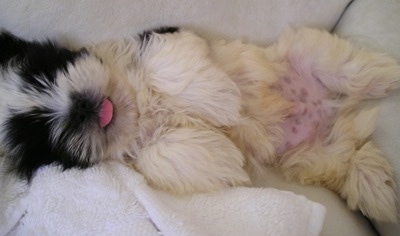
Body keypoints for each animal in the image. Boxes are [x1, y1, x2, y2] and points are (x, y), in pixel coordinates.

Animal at [0, 26, 400, 222]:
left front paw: (221, 101)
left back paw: (389, 75)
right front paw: (224, 156)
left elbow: (165, 64)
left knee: (352, 70)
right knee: (351, 157)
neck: (129, 107)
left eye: (46, 73)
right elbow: (158, 155)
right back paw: (377, 188)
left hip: (313, 55)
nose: (80, 108)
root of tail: (332, 109)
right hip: (312, 157)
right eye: (38, 129)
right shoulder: (139, 155)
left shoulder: (162, 37)